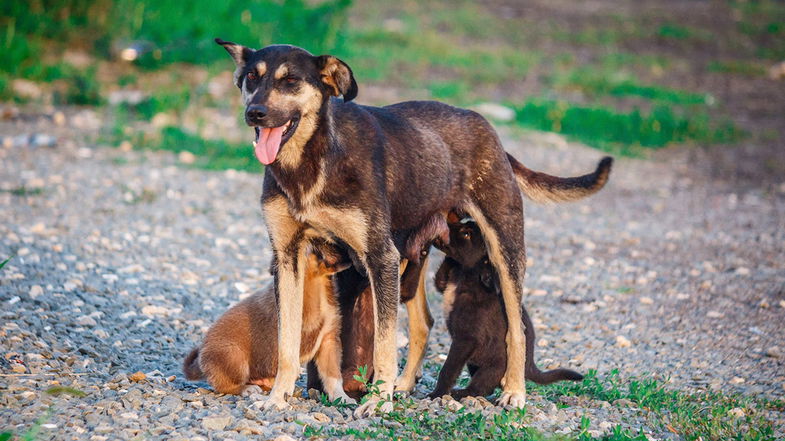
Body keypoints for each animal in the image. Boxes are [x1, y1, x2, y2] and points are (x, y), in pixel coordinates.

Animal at [181, 241, 352, 402]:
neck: (318, 284)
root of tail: (200, 359)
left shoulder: (328, 341)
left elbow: (333, 376)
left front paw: (342, 398)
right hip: (233, 355)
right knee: (224, 385)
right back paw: (247, 389)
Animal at [428, 218, 580, 400]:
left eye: (466, 234)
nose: (444, 223)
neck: (465, 275)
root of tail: (529, 364)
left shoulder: (466, 339)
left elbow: (448, 369)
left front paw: (437, 394)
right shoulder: (444, 283)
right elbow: (442, 275)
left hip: (494, 366)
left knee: (482, 386)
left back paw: (463, 393)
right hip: (475, 362)